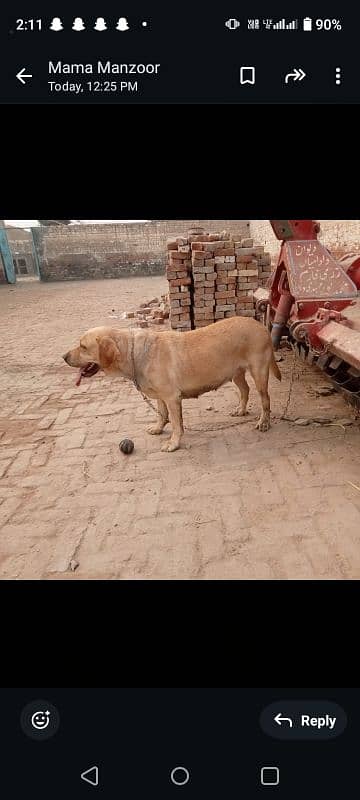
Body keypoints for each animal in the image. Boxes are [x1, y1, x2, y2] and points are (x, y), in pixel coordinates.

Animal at [63, 320, 280, 456]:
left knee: (266, 399)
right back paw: (241, 410)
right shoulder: (161, 397)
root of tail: (261, 325)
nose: (63, 356)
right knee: (245, 391)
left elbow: (176, 424)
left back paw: (264, 422)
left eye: (83, 346)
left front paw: (173, 443)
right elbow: (162, 414)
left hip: (259, 373)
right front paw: (158, 428)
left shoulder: (172, 397)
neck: (134, 354)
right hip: (236, 373)